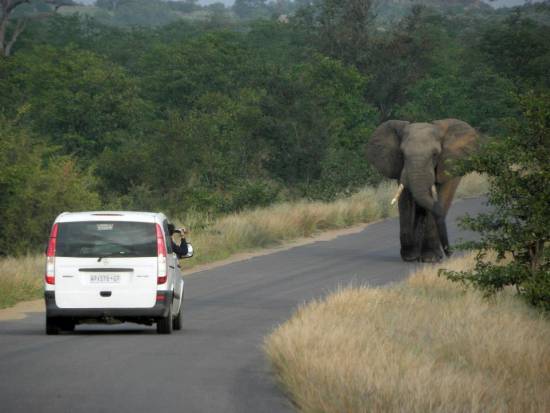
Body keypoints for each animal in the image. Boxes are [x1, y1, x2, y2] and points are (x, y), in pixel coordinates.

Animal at [368, 117, 480, 262]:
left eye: (435, 154)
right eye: (402, 154)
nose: (450, 253)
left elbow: (441, 196)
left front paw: (430, 258)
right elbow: (405, 201)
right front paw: (409, 256)